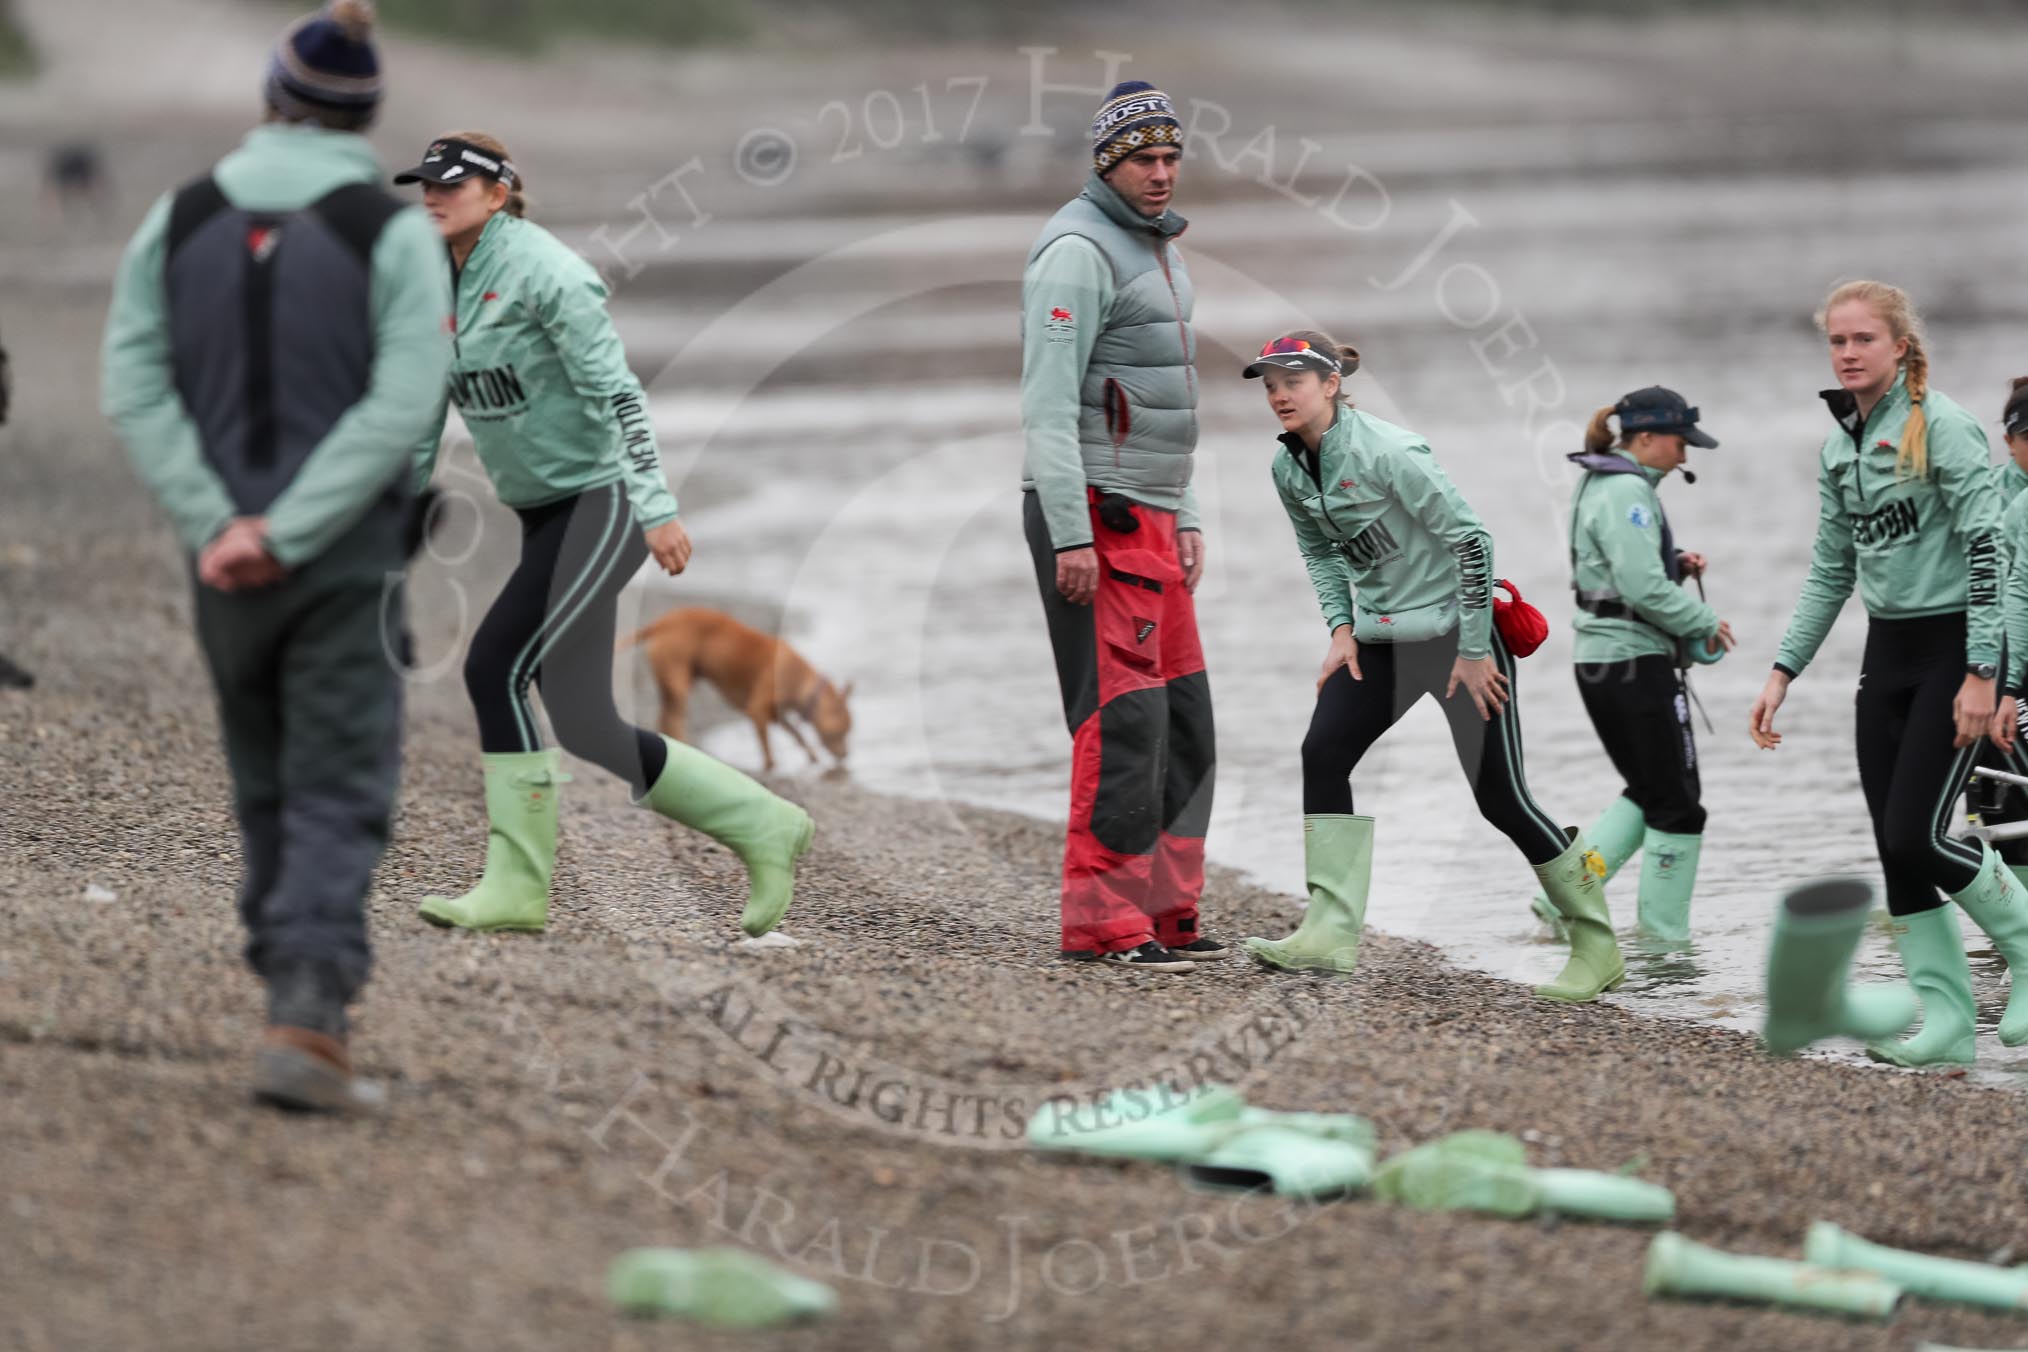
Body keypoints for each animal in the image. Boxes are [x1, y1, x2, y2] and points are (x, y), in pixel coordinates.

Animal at [620, 604, 851, 766]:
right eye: (842, 732)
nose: (846, 756)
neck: (799, 678)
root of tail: (661, 622)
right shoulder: (757, 710)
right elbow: (767, 747)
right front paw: (771, 766)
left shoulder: (776, 715)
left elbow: (798, 735)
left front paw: (812, 757)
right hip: (679, 684)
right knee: (674, 719)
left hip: (675, 684)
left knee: (665, 716)